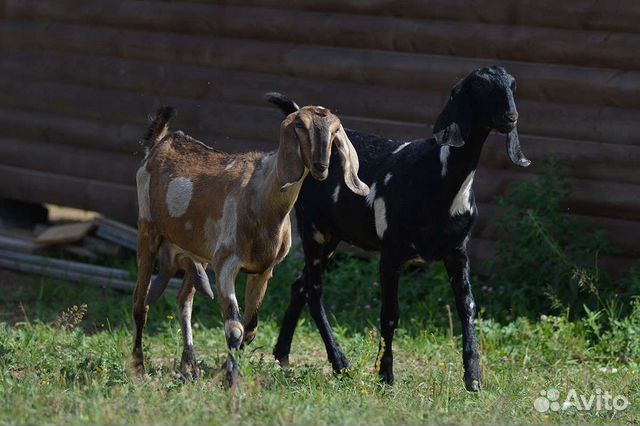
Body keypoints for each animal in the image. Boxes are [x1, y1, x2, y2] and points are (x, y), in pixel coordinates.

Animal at [132, 105, 368, 382]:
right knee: (140, 303)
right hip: (147, 231)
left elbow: (251, 328)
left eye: (334, 131)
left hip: (196, 253)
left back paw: (189, 367)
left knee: (184, 300)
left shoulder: (263, 270)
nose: (321, 167)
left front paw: (224, 370)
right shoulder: (225, 264)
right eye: (301, 126)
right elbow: (234, 328)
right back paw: (139, 368)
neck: (260, 198)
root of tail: (160, 142)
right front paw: (231, 380)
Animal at [264, 67, 528, 392]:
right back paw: (340, 364)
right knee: (314, 291)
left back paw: (282, 354)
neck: (436, 176)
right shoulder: (392, 254)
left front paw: (473, 379)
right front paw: (385, 376)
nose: (510, 117)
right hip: (314, 230)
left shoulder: (457, 251)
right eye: (479, 86)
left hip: (333, 237)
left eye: (512, 85)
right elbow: (390, 314)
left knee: (299, 285)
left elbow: (467, 306)